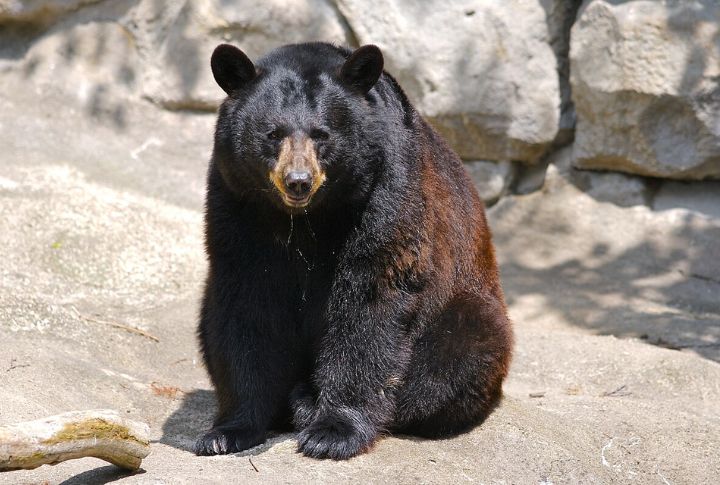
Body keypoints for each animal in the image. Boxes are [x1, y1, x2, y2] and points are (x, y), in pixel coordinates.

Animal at [195, 42, 513, 460]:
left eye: (322, 134)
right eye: (272, 133)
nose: (298, 181)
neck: (307, 218)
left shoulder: (386, 192)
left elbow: (368, 301)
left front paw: (333, 431)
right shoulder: (236, 201)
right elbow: (246, 304)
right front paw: (227, 431)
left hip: (466, 308)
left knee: (453, 358)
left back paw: (308, 401)